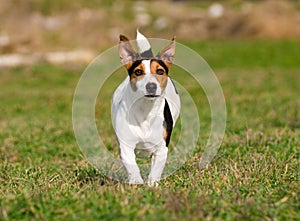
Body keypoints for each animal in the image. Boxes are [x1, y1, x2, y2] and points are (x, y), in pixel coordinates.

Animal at [111, 30, 179, 186]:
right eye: (138, 72)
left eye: (160, 71)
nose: (151, 86)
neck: (145, 110)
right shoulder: (126, 146)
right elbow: (131, 165)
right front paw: (136, 181)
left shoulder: (161, 149)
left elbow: (156, 169)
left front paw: (152, 184)